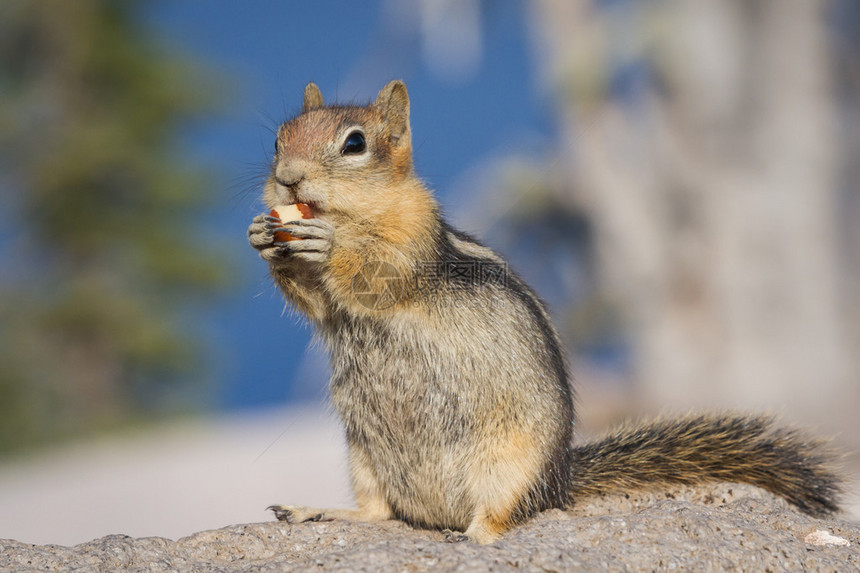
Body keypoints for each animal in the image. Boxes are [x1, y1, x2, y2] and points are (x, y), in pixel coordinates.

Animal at [247, 79, 840, 540]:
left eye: (355, 143)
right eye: (278, 139)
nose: (288, 178)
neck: (356, 213)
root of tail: (559, 483)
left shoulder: (412, 241)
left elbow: (377, 273)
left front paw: (327, 246)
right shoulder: (327, 304)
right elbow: (315, 302)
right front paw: (262, 237)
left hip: (508, 468)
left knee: (499, 519)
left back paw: (472, 535)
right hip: (365, 458)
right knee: (380, 514)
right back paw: (316, 511)